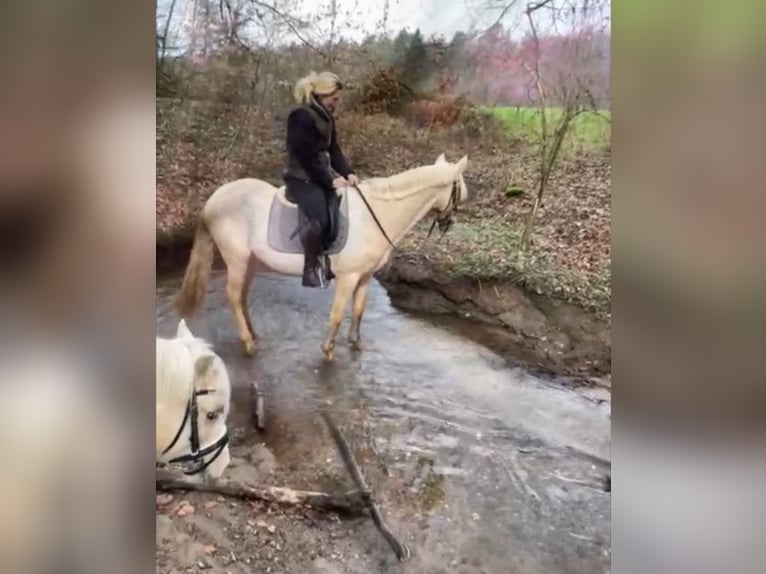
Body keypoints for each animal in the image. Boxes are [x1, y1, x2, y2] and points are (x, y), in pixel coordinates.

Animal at [177, 153, 472, 360]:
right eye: (460, 192)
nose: (448, 223)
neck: (375, 214)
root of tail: (214, 199)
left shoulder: (364, 276)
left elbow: (359, 310)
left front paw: (355, 343)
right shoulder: (347, 277)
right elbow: (337, 315)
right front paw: (328, 350)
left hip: (251, 261)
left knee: (242, 296)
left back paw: (253, 334)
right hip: (237, 259)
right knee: (233, 295)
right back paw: (248, 343)